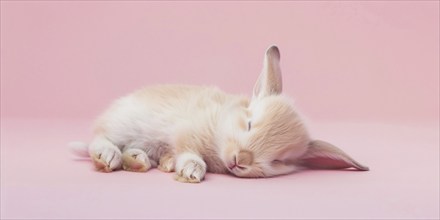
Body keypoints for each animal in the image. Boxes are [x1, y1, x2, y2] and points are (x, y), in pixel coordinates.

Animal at [71, 44, 368, 182]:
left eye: (279, 161)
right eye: (249, 124)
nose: (240, 160)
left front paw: (177, 167)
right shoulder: (187, 133)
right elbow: (189, 152)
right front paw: (191, 171)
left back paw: (138, 160)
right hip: (123, 125)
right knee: (100, 140)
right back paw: (110, 156)